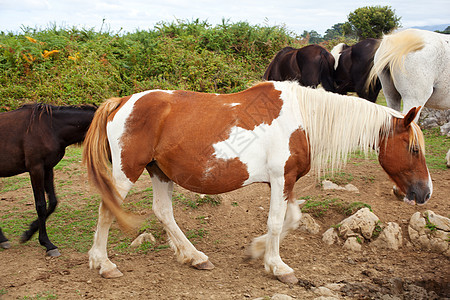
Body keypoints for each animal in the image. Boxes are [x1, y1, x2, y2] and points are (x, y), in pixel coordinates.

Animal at [0, 104, 96, 256]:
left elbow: (53, 202)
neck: (51, 128)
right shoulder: (36, 169)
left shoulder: (48, 169)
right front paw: (47, 244)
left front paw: (28, 233)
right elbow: (41, 206)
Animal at [82, 81, 430, 284]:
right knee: (107, 211)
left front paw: (256, 251)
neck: (302, 119)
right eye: (414, 149)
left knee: (163, 212)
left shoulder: (285, 181)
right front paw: (278, 267)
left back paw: (194, 257)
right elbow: (276, 221)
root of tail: (120, 102)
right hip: (127, 173)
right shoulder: (280, 178)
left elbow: (292, 219)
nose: (424, 192)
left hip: (159, 172)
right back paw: (103, 264)